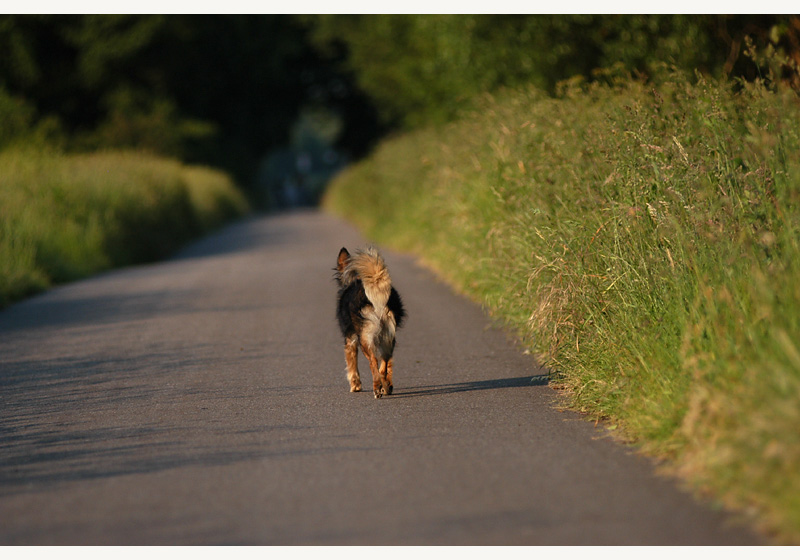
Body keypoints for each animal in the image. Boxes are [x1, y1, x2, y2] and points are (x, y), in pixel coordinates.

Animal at [334, 246, 406, 398]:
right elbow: (389, 365)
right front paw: (388, 385)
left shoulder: (350, 340)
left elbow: (352, 365)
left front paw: (355, 386)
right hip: (388, 337)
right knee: (384, 363)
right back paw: (385, 386)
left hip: (365, 339)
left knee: (373, 362)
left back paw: (377, 388)